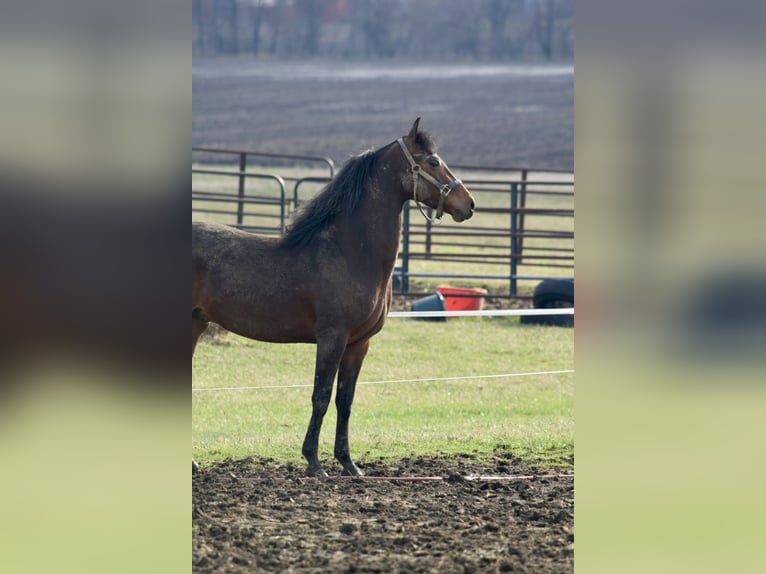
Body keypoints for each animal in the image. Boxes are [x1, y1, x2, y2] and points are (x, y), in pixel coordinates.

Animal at [192, 118, 475, 477]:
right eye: (434, 162)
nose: (469, 204)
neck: (349, 252)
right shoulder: (332, 337)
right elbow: (322, 395)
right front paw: (314, 462)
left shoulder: (358, 344)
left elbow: (345, 400)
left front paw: (348, 463)